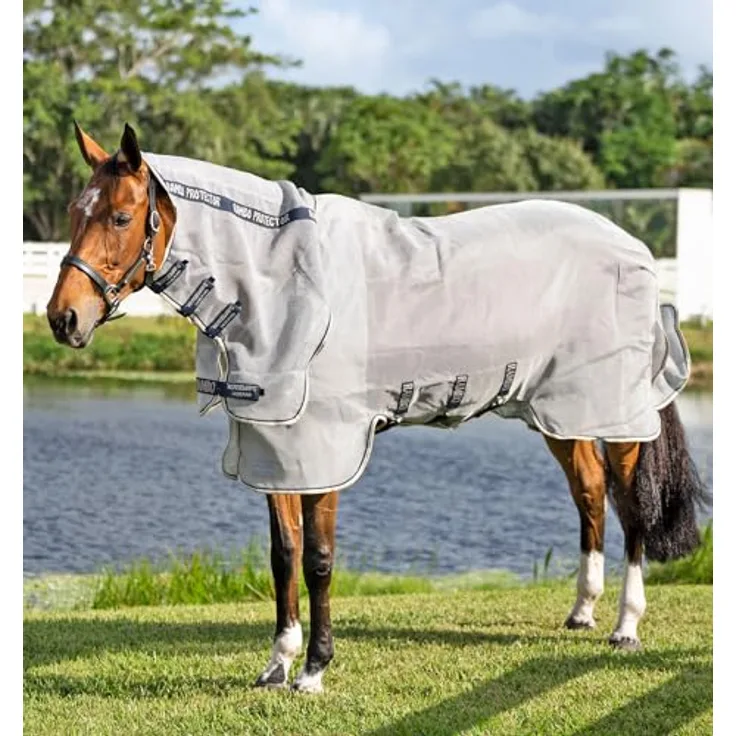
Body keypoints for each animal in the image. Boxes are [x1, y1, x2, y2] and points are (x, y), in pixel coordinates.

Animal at [46, 122, 708, 694]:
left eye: (121, 216)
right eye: (75, 213)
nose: (63, 319)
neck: (283, 288)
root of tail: (634, 248)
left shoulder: (325, 452)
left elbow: (318, 559)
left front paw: (314, 669)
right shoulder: (277, 450)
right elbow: (283, 556)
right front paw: (277, 664)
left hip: (615, 415)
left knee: (631, 509)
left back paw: (626, 626)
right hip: (561, 413)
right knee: (590, 494)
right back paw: (582, 612)